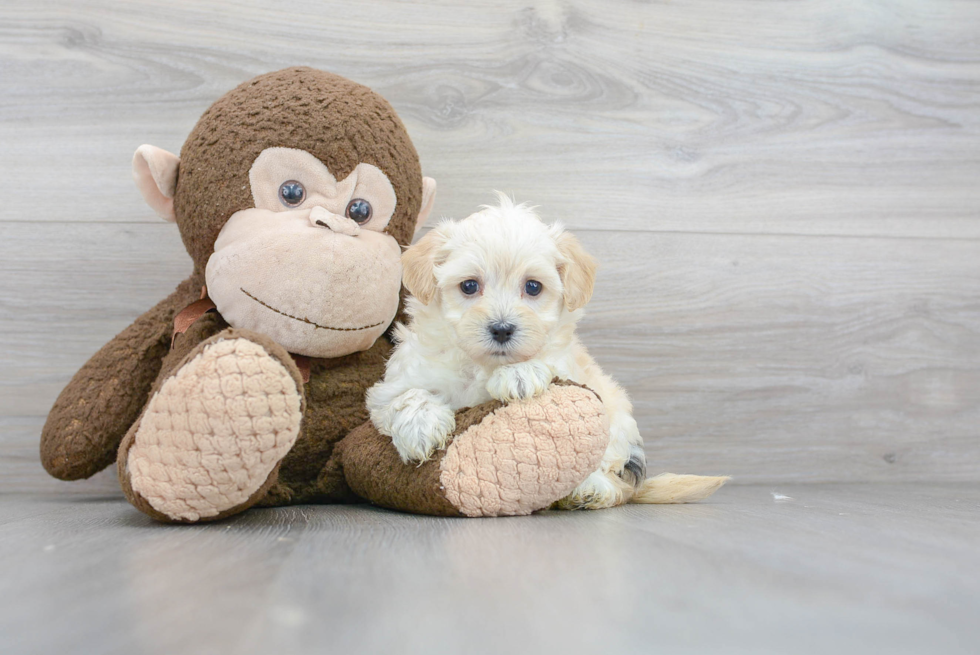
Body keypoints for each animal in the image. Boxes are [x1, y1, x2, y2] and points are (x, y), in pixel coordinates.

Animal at [368, 196, 728, 512]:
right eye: (469, 286)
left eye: (533, 287)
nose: (502, 329)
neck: (481, 364)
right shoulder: (394, 386)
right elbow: (406, 396)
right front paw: (420, 428)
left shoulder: (568, 368)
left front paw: (519, 373)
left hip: (617, 422)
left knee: (613, 478)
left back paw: (590, 490)